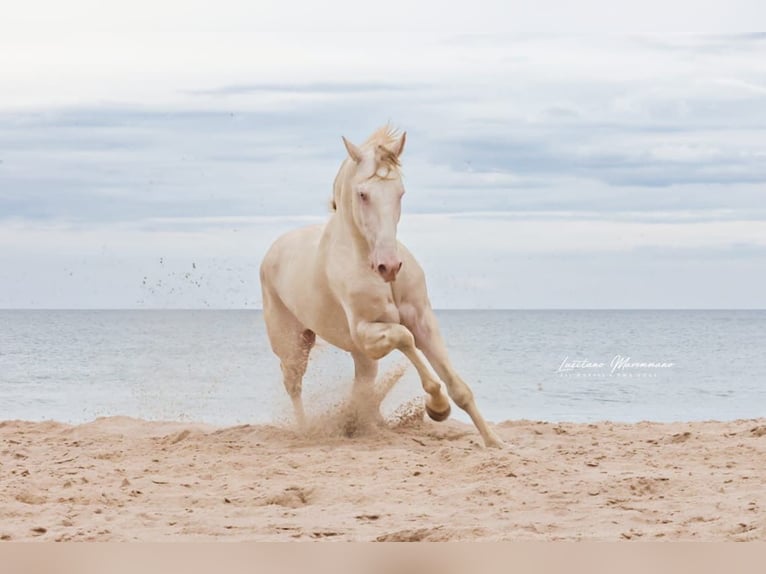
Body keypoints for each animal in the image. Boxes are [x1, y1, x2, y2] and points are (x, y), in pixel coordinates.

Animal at [259, 126, 503, 448]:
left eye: (400, 192)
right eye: (363, 194)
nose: (389, 267)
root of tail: (274, 249)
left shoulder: (422, 320)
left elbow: (458, 386)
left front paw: (494, 441)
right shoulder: (366, 332)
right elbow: (404, 338)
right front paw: (437, 407)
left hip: (358, 355)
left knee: (361, 385)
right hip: (293, 343)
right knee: (293, 382)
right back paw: (307, 431)